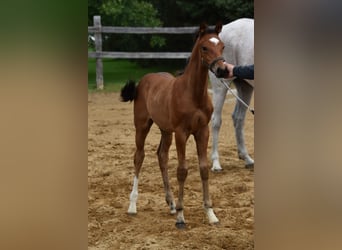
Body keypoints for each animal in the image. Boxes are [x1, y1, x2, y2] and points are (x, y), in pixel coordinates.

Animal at [120, 22, 227, 229]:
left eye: (223, 46)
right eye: (204, 47)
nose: (222, 70)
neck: (193, 94)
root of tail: (144, 80)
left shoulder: (202, 131)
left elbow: (203, 168)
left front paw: (211, 213)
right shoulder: (181, 133)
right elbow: (182, 170)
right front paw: (180, 216)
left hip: (165, 130)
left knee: (162, 156)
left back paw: (169, 203)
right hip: (142, 126)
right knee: (139, 156)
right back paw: (132, 205)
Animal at [208, 17, 254, 171]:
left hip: (245, 87)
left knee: (238, 119)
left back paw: (247, 158)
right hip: (220, 87)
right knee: (216, 121)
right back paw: (216, 164)